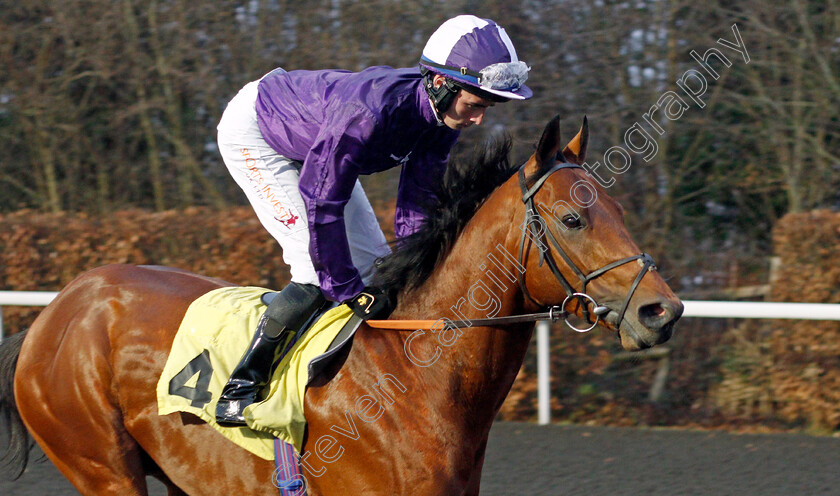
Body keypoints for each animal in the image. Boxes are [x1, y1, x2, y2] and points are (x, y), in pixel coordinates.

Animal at [0, 117, 684, 496]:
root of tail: (56, 311)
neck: (415, 377)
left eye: (618, 209)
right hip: (102, 465)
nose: (662, 311)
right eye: (573, 218)